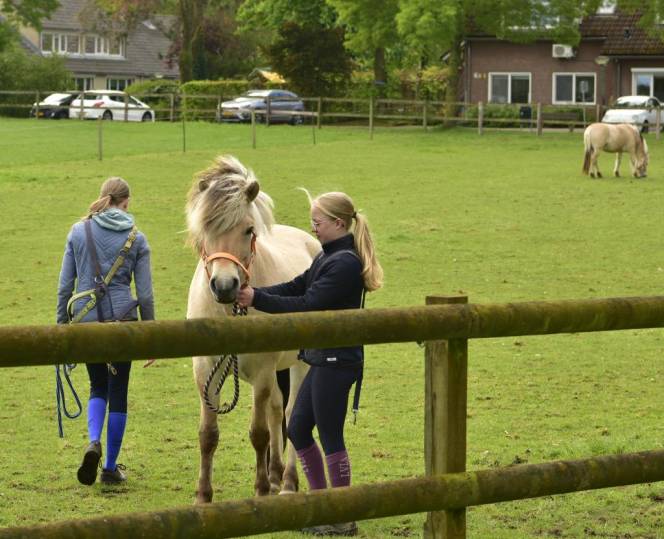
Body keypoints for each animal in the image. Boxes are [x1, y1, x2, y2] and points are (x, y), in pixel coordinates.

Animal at [185, 155, 320, 503]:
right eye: (205, 228)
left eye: (248, 230)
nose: (224, 286)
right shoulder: (205, 369)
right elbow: (208, 434)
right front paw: (203, 495)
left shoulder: (261, 371)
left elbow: (258, 433)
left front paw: (259, 491)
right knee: (276, 408)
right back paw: (274, 476)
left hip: (298, 364)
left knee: (289, 412)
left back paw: (286, 482)